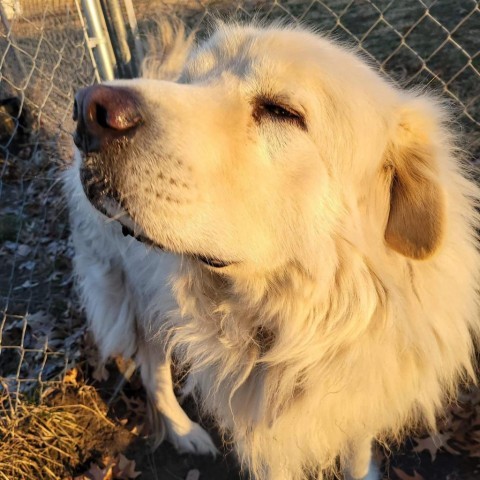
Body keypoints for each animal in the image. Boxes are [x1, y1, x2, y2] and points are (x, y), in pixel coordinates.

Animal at [64, 22, 480, 480]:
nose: (87, 109)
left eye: (281, 111)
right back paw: (186, 432)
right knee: (154, 372)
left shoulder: (359, 404)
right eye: (188, 83)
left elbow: (357, 455)